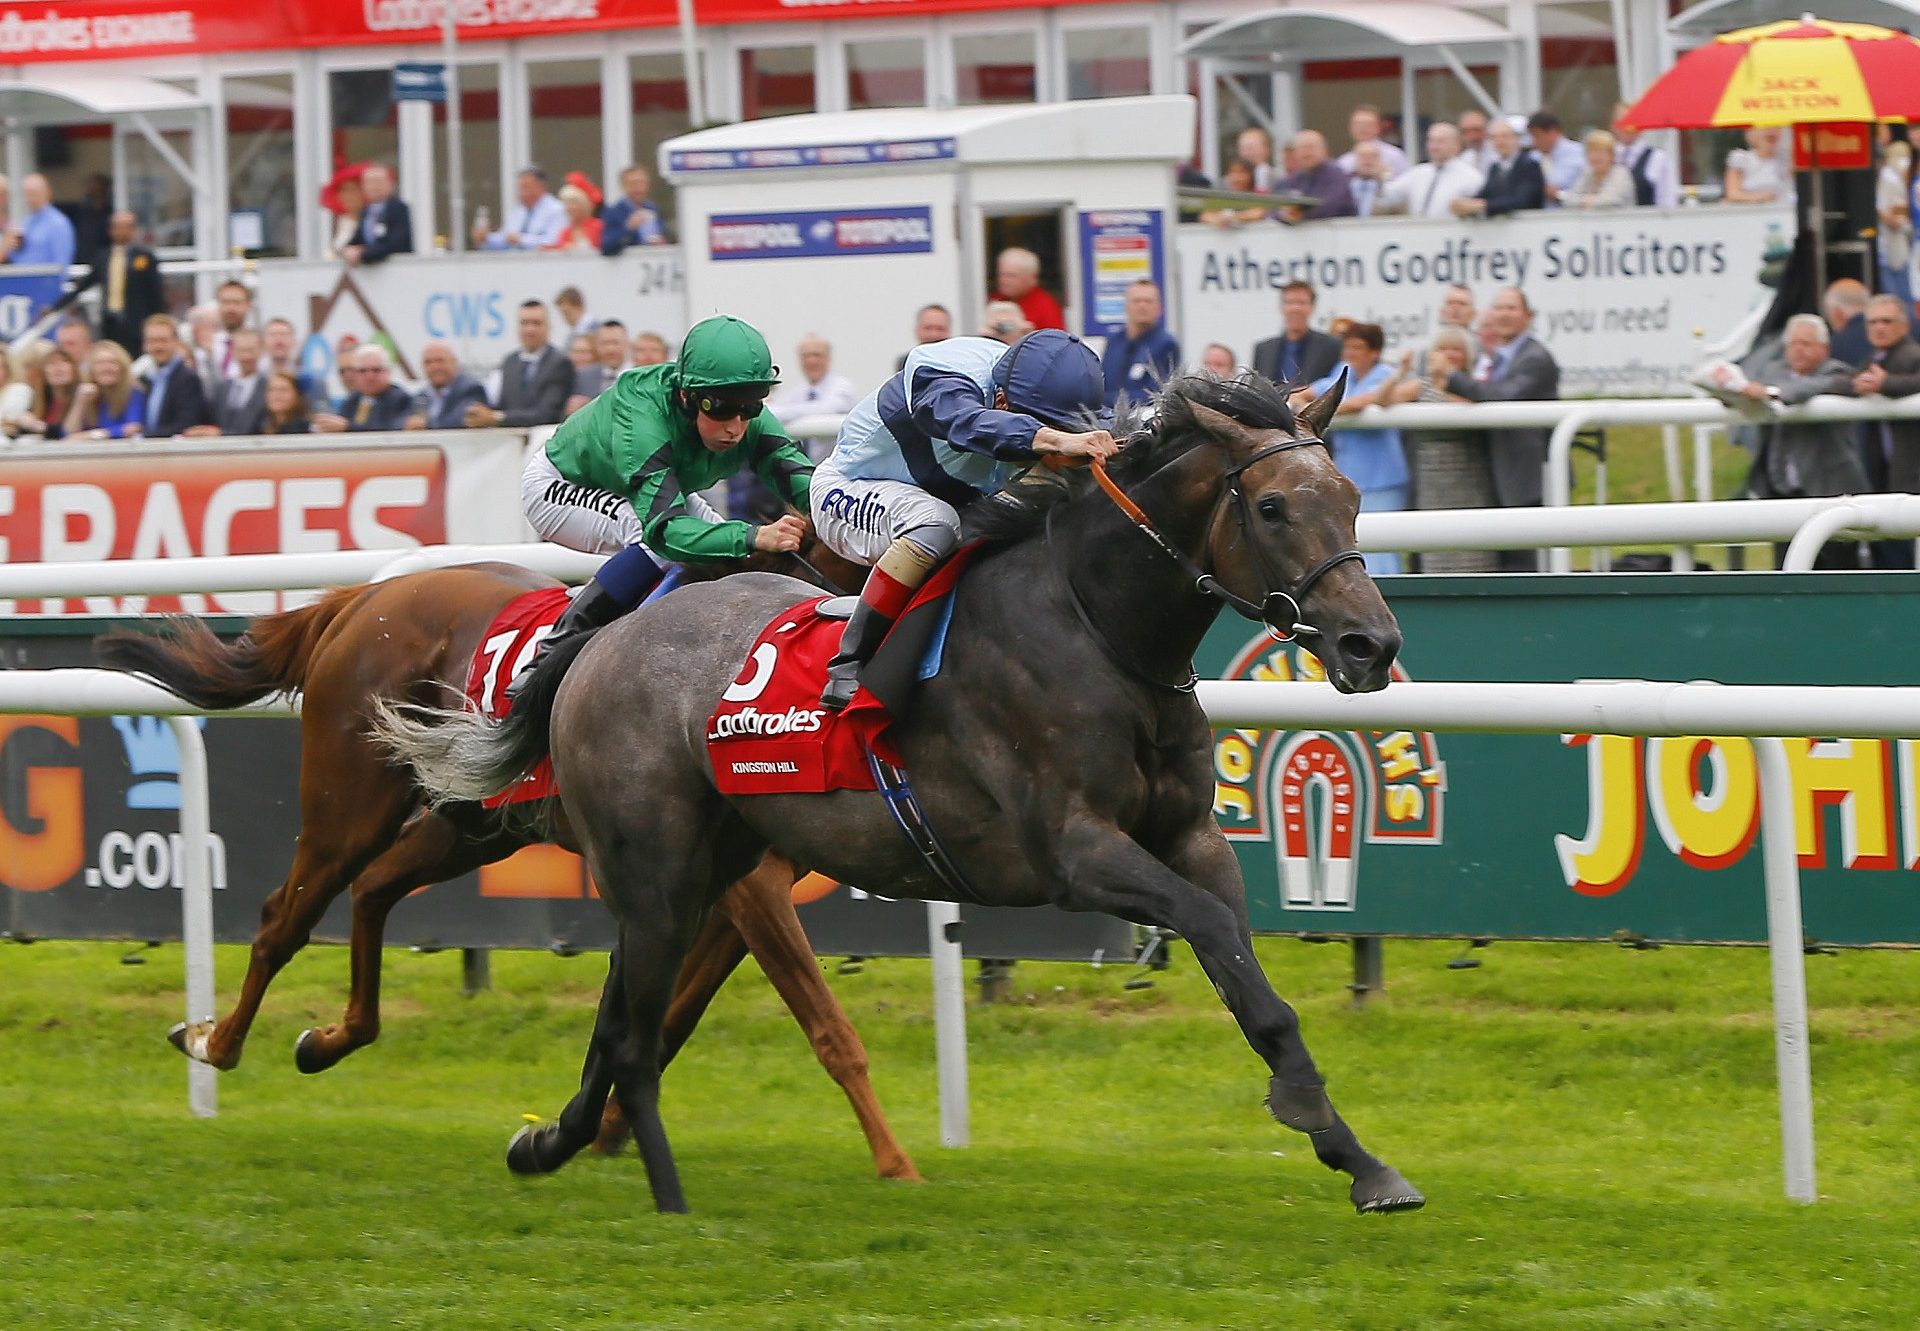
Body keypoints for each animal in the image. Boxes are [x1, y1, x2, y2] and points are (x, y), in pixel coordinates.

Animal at [97, 556, 921, 1175]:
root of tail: (361, 599)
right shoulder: (746, 888)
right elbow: (825, 1026)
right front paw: (895, 1162)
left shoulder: (729, 892)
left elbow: (675, 1015)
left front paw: (601, 1128)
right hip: (349, 804)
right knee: (284, 919)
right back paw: (214, 1040)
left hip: (475, 822)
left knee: (374, 890)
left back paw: (330, 1038)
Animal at [378, 374, 1428, 1213]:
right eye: (1276, 508)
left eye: (1352, 498)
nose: (1371, 644)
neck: (1095, 626)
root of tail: (598, 636)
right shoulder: (1075, 850)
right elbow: (1212, 933)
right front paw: (1312, 1114)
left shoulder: (1190, 837)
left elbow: (1247, 974)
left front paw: (1359, 1156)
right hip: (656, 866)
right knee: (628, 1025)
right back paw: (655, 1190)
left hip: (704, 865)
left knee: (616, 1019)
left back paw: (547, 1143)